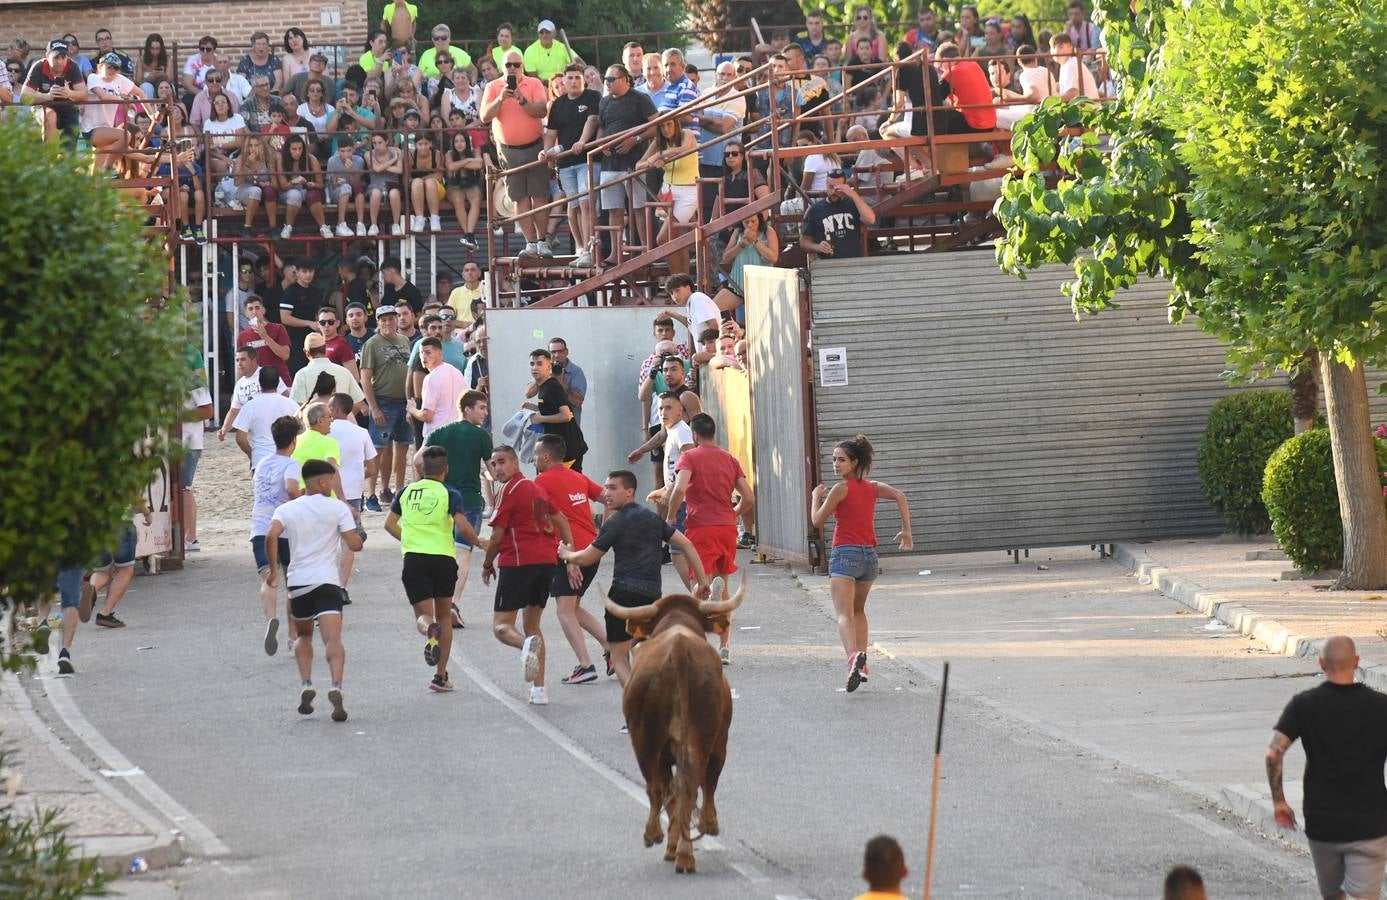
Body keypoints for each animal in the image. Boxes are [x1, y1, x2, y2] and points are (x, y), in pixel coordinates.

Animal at [601, 576, 743, 870]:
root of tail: (679, 649)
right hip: (702, 741)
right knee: (692, 786)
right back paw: (687, 849)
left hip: (647, 742)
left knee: (664, 788)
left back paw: (662, 840)